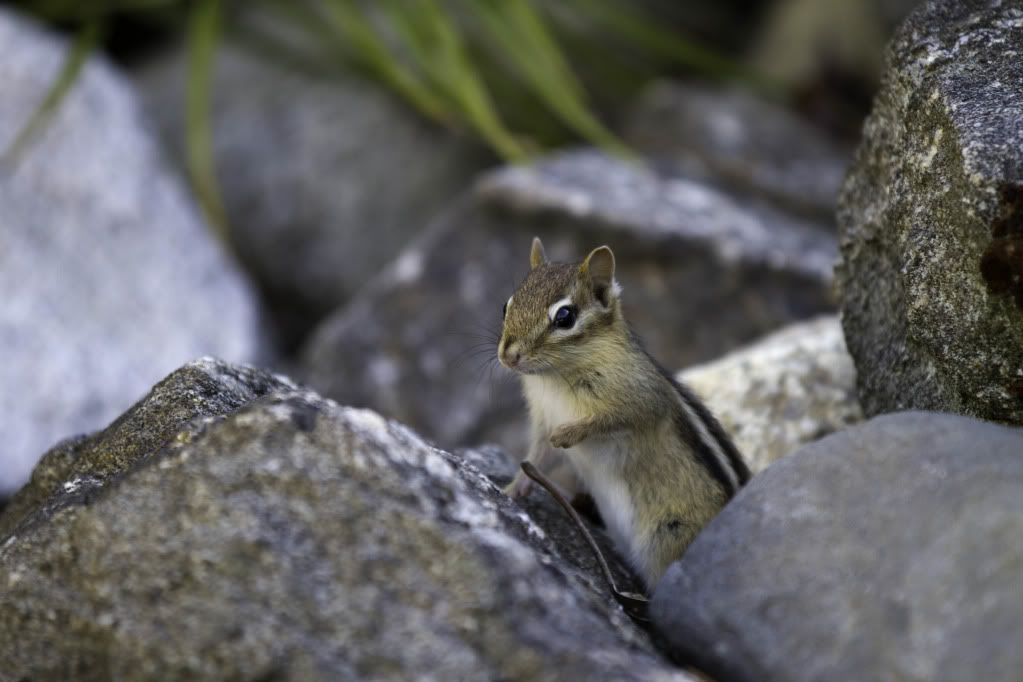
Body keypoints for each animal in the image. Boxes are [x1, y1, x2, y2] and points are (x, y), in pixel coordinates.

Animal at [499, 237, 751, 589]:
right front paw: (514, 487)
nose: (508, 356)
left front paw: (569, 433)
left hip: (668, 537)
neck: (554, 380)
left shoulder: (642, 399)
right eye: (506, 306)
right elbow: (538, 456)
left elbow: (611, 420)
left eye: (564, 317)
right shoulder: (542, 418)